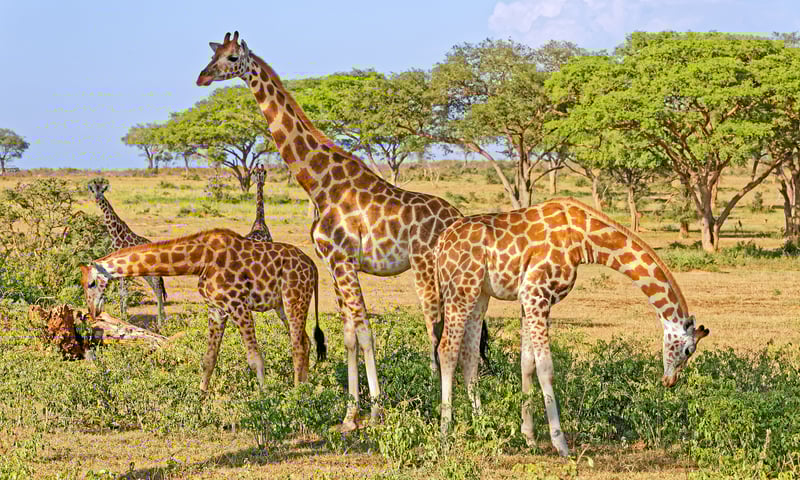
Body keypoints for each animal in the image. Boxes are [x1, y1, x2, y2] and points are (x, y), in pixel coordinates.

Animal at [80, 228, 326, 388]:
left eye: (91, 283)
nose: (92, 312)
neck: (199, 260)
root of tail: (313, 266)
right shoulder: (216, 308)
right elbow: (209, 358)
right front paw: (201, 398)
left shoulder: (238, 304)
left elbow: (254, 357)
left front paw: (264, 399)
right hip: (282, 306)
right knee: (305, 341)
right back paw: (306, 389)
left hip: (294, 297)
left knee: (297, 345)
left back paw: (297, 393)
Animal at [87, 178, 167, 328]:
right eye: (93, 190)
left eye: (103, 190)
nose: (97, 198)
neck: (115, 233)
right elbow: (121, 292)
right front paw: (122, 316)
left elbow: (123, 292)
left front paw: (124, 317)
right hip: (146, 273)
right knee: (156, 289)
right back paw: (163, 320)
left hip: (153, 271)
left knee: (159, 290)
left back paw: (161, 323)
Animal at [196, 31, 487, 431]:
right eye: (213, 54)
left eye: (233, 57)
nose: (203, 76)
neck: (320, 184)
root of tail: (458, 216)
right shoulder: (334, 263)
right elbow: (348, 336)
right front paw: (351, 414)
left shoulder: (345, 261)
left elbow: (365, 333)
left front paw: (376, 410)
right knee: (468, 334)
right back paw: (469, 407)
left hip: (427, 272)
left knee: (439, 331)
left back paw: (441, 408)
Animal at [434, 197, 709, 456]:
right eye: (688, 351)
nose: (670, 381)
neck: (583, 239)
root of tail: (440, 244)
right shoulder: (536, 293)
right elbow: (546, 368)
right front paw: (561, 444)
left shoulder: (529, 299)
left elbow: (527, 363)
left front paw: (529, 437)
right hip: (461, 290)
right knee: (447, 349)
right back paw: (445, 434)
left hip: (479, 294)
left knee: (470, 356)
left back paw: (482, 425)